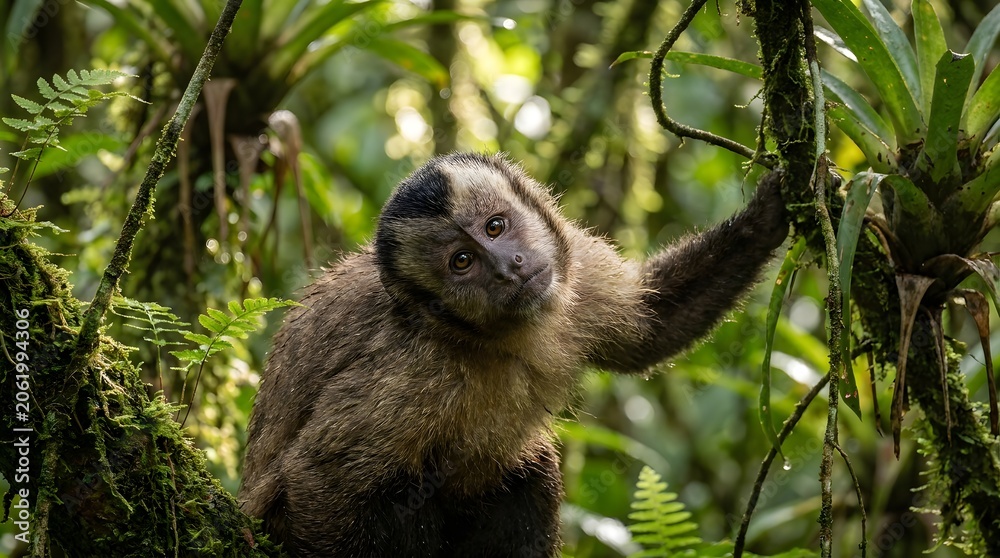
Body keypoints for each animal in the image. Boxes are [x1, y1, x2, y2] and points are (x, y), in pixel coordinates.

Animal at [239, 152, 788, 557]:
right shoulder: (411, 369)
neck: (491, 337)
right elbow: (320, 477)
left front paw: (772, 211)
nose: (509, 267)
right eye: (462, 262)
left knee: (524, 470)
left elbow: (648, 329)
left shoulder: (577, 270)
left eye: (495, 228)